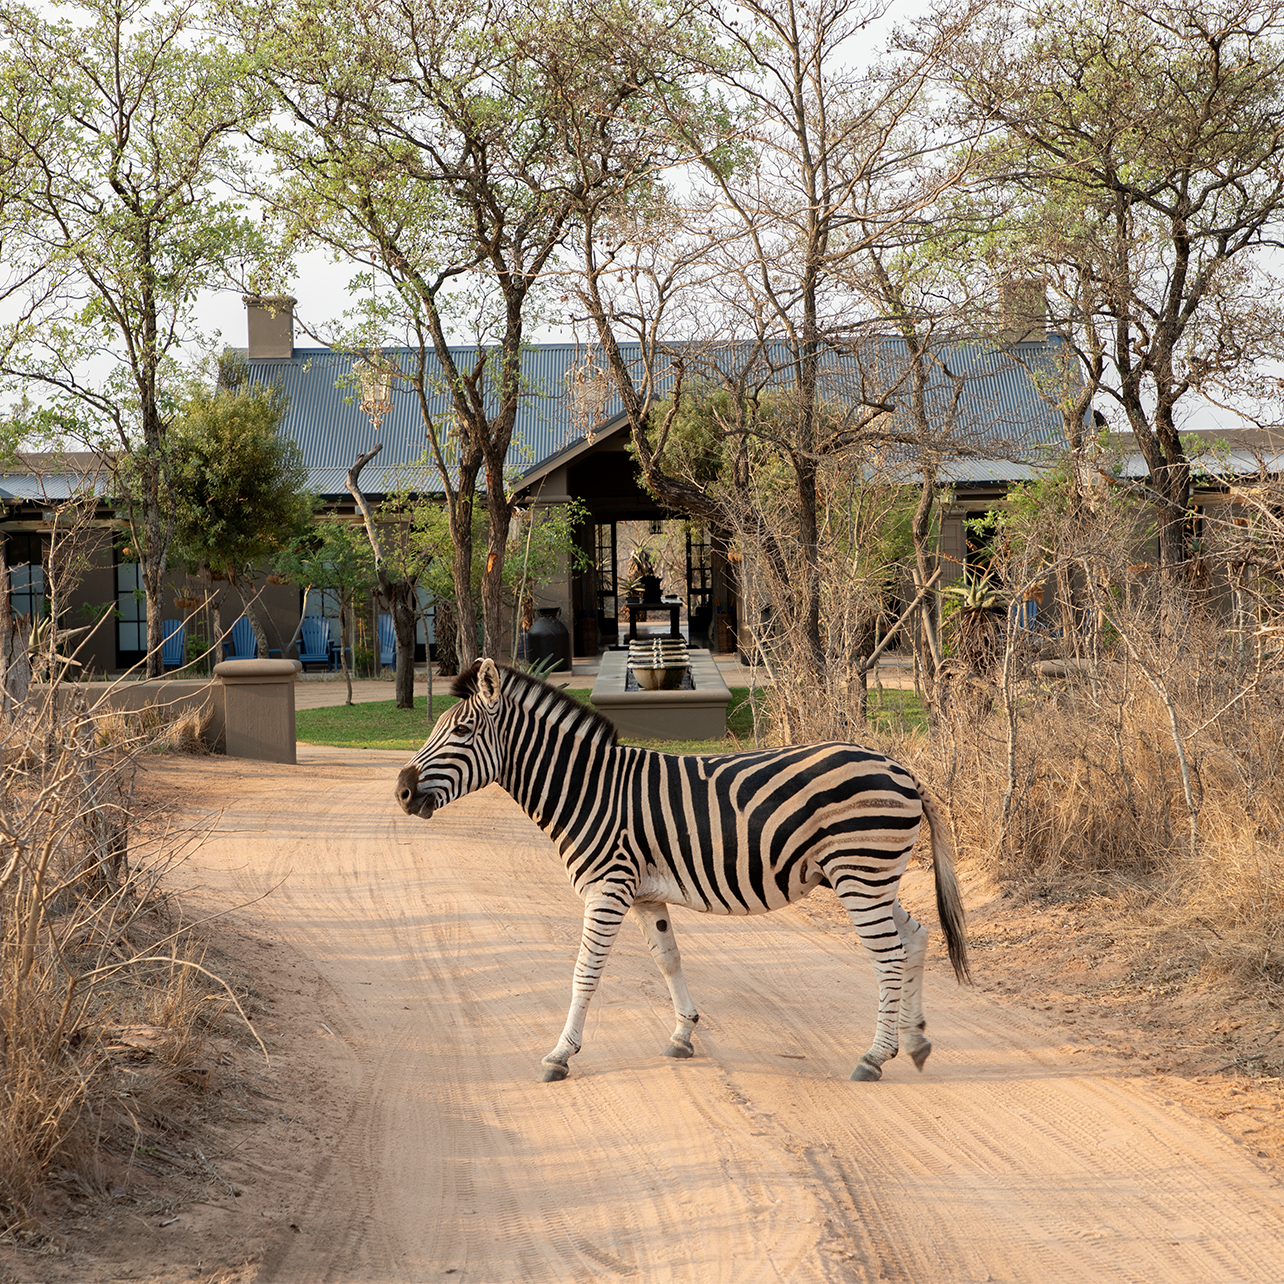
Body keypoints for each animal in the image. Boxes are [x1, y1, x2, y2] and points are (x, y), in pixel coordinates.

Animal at [395, 662, 965, 1083]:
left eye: (462, 731)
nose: (400, 792)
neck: (587, 789)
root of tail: (899, 767)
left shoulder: (607, 888)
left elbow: (585, 972)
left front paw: (560, 1054)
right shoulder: (644, 893)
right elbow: (667, 959)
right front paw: (683, 1034)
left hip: (859, 873)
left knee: (889, 955)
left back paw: (874, 1057)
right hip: (870, 878)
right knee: (916, 937)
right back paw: (915, 1041)